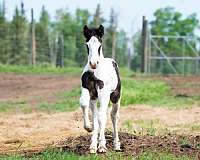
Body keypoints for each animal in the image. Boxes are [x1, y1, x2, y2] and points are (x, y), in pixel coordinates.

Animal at [79, 24, 120, 153]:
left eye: (99, 45)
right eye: (87, 45)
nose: (93, 63)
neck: (94, 72)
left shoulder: (103, 90)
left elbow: (102, 117)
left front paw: (102, 146)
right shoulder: (88, 89)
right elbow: (84, 104)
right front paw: (88, 128)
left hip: (115, 96)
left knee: (113, 115)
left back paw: (116, 145)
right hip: (95, 98)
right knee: (99, 115)